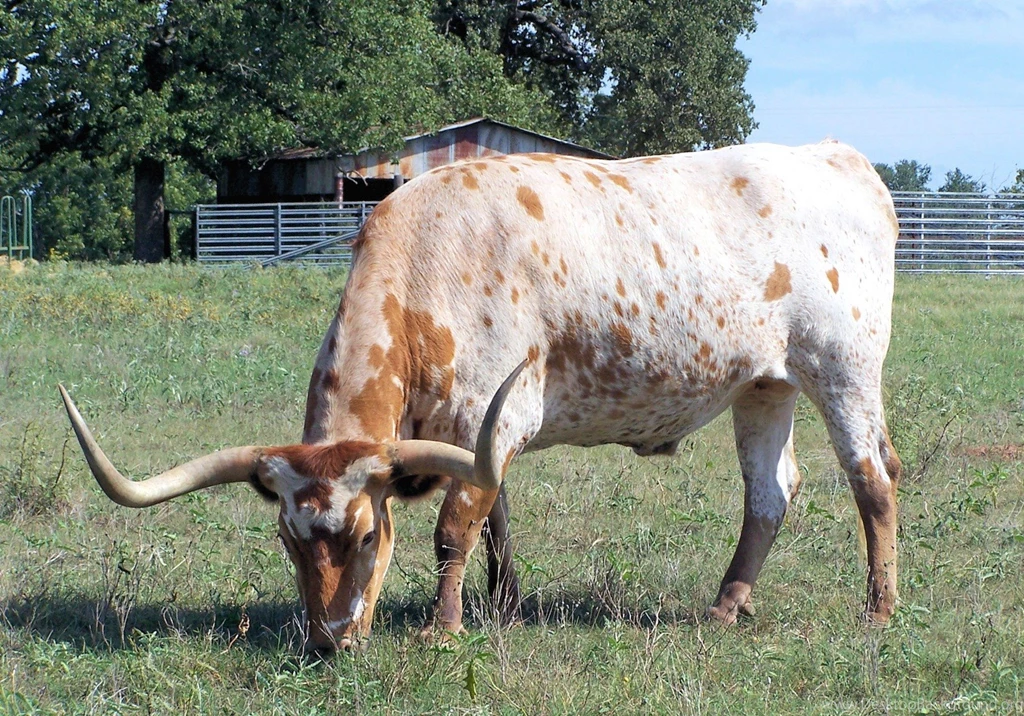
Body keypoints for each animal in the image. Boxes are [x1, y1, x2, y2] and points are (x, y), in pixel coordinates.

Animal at [60, 140, 902, 654]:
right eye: (289, 541)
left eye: (365, 536)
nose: (329, 641)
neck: (425, 266)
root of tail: (839, 157)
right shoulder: (473, 436)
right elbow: (493, 516)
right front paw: (503, 603)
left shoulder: (494, 414)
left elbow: (453, 529)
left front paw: (444, 627)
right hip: (766, 382)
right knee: (771, 493)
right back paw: (728, 604)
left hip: (844, 367)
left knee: (873, 481)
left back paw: (879, 609)